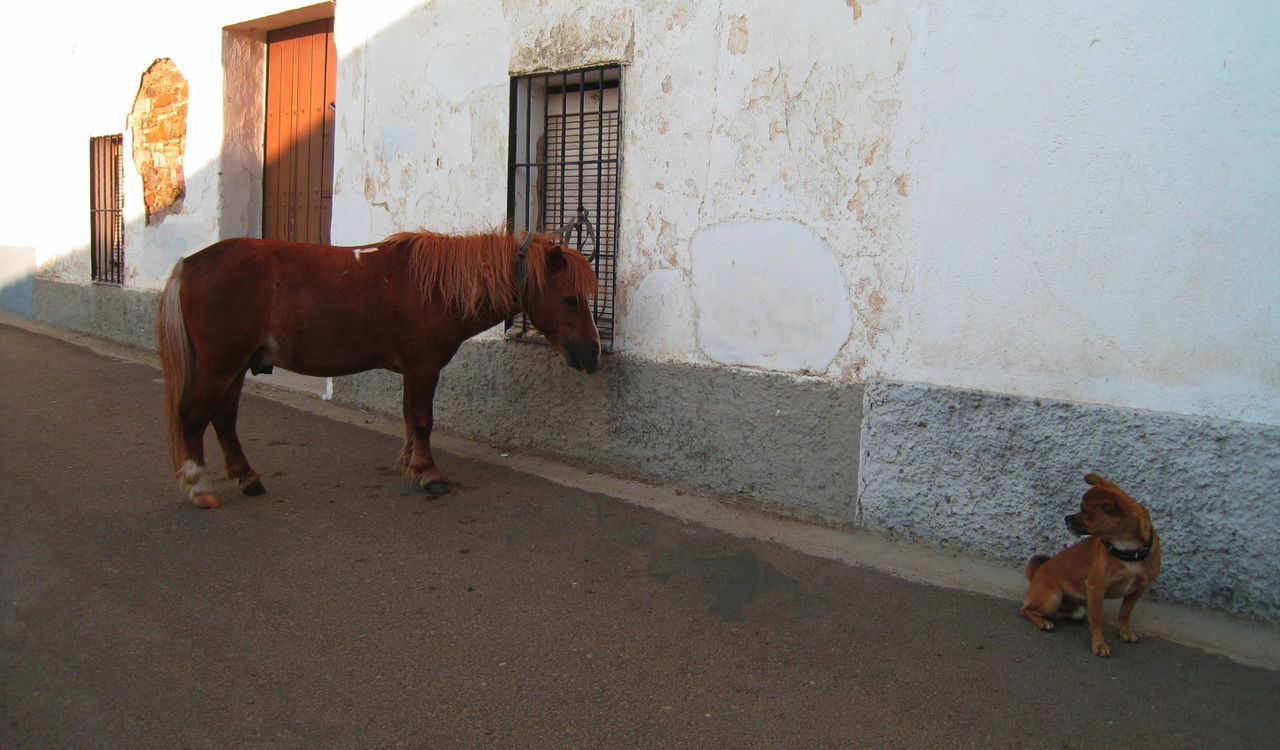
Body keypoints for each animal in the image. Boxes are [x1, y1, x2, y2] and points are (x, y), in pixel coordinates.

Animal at [158, 227, 599, 506]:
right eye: (570, 299)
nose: (593, 353)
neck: (434, 288)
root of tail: (188, 265)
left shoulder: (415, 371)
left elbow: (409, 419)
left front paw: (413, 466)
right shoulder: (423, 368)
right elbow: (421, 421)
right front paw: (428, 474)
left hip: (235, 367)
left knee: (223, 419)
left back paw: (247, 477)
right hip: (221, 365)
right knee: (194, 415)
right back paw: (198, 486)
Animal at [1018, 473, 1162, 655]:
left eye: (1085, 511)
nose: (1066, 518)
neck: (1129, 552)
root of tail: (1036, 573)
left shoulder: (1137, 590)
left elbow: (1124, 613)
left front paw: (1124, 633)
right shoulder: (1096, 587)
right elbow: (1097, 618)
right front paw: (1099, 644)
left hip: (1076, 606)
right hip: (1053, 598)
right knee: (1026, 609)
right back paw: (1043, 622)